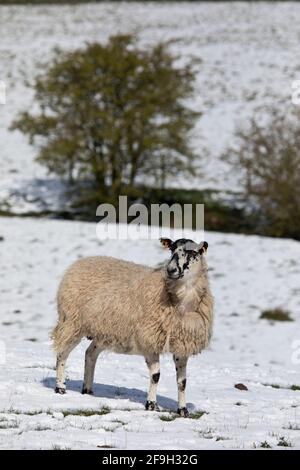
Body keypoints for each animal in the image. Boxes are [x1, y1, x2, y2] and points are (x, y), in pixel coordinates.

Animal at [52, 237, 214, 416]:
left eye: (192, 252)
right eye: (171, 250)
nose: (170, 270)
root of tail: (79, 262)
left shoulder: (182, 345)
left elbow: (182, 381)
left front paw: (183, 410)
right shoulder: (149, 339)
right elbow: (156, 375)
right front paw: (151, 404)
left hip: (104, 331)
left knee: (90, 354)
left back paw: (87, 390)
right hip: (72, 321)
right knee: (62, 353)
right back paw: (60, 387)